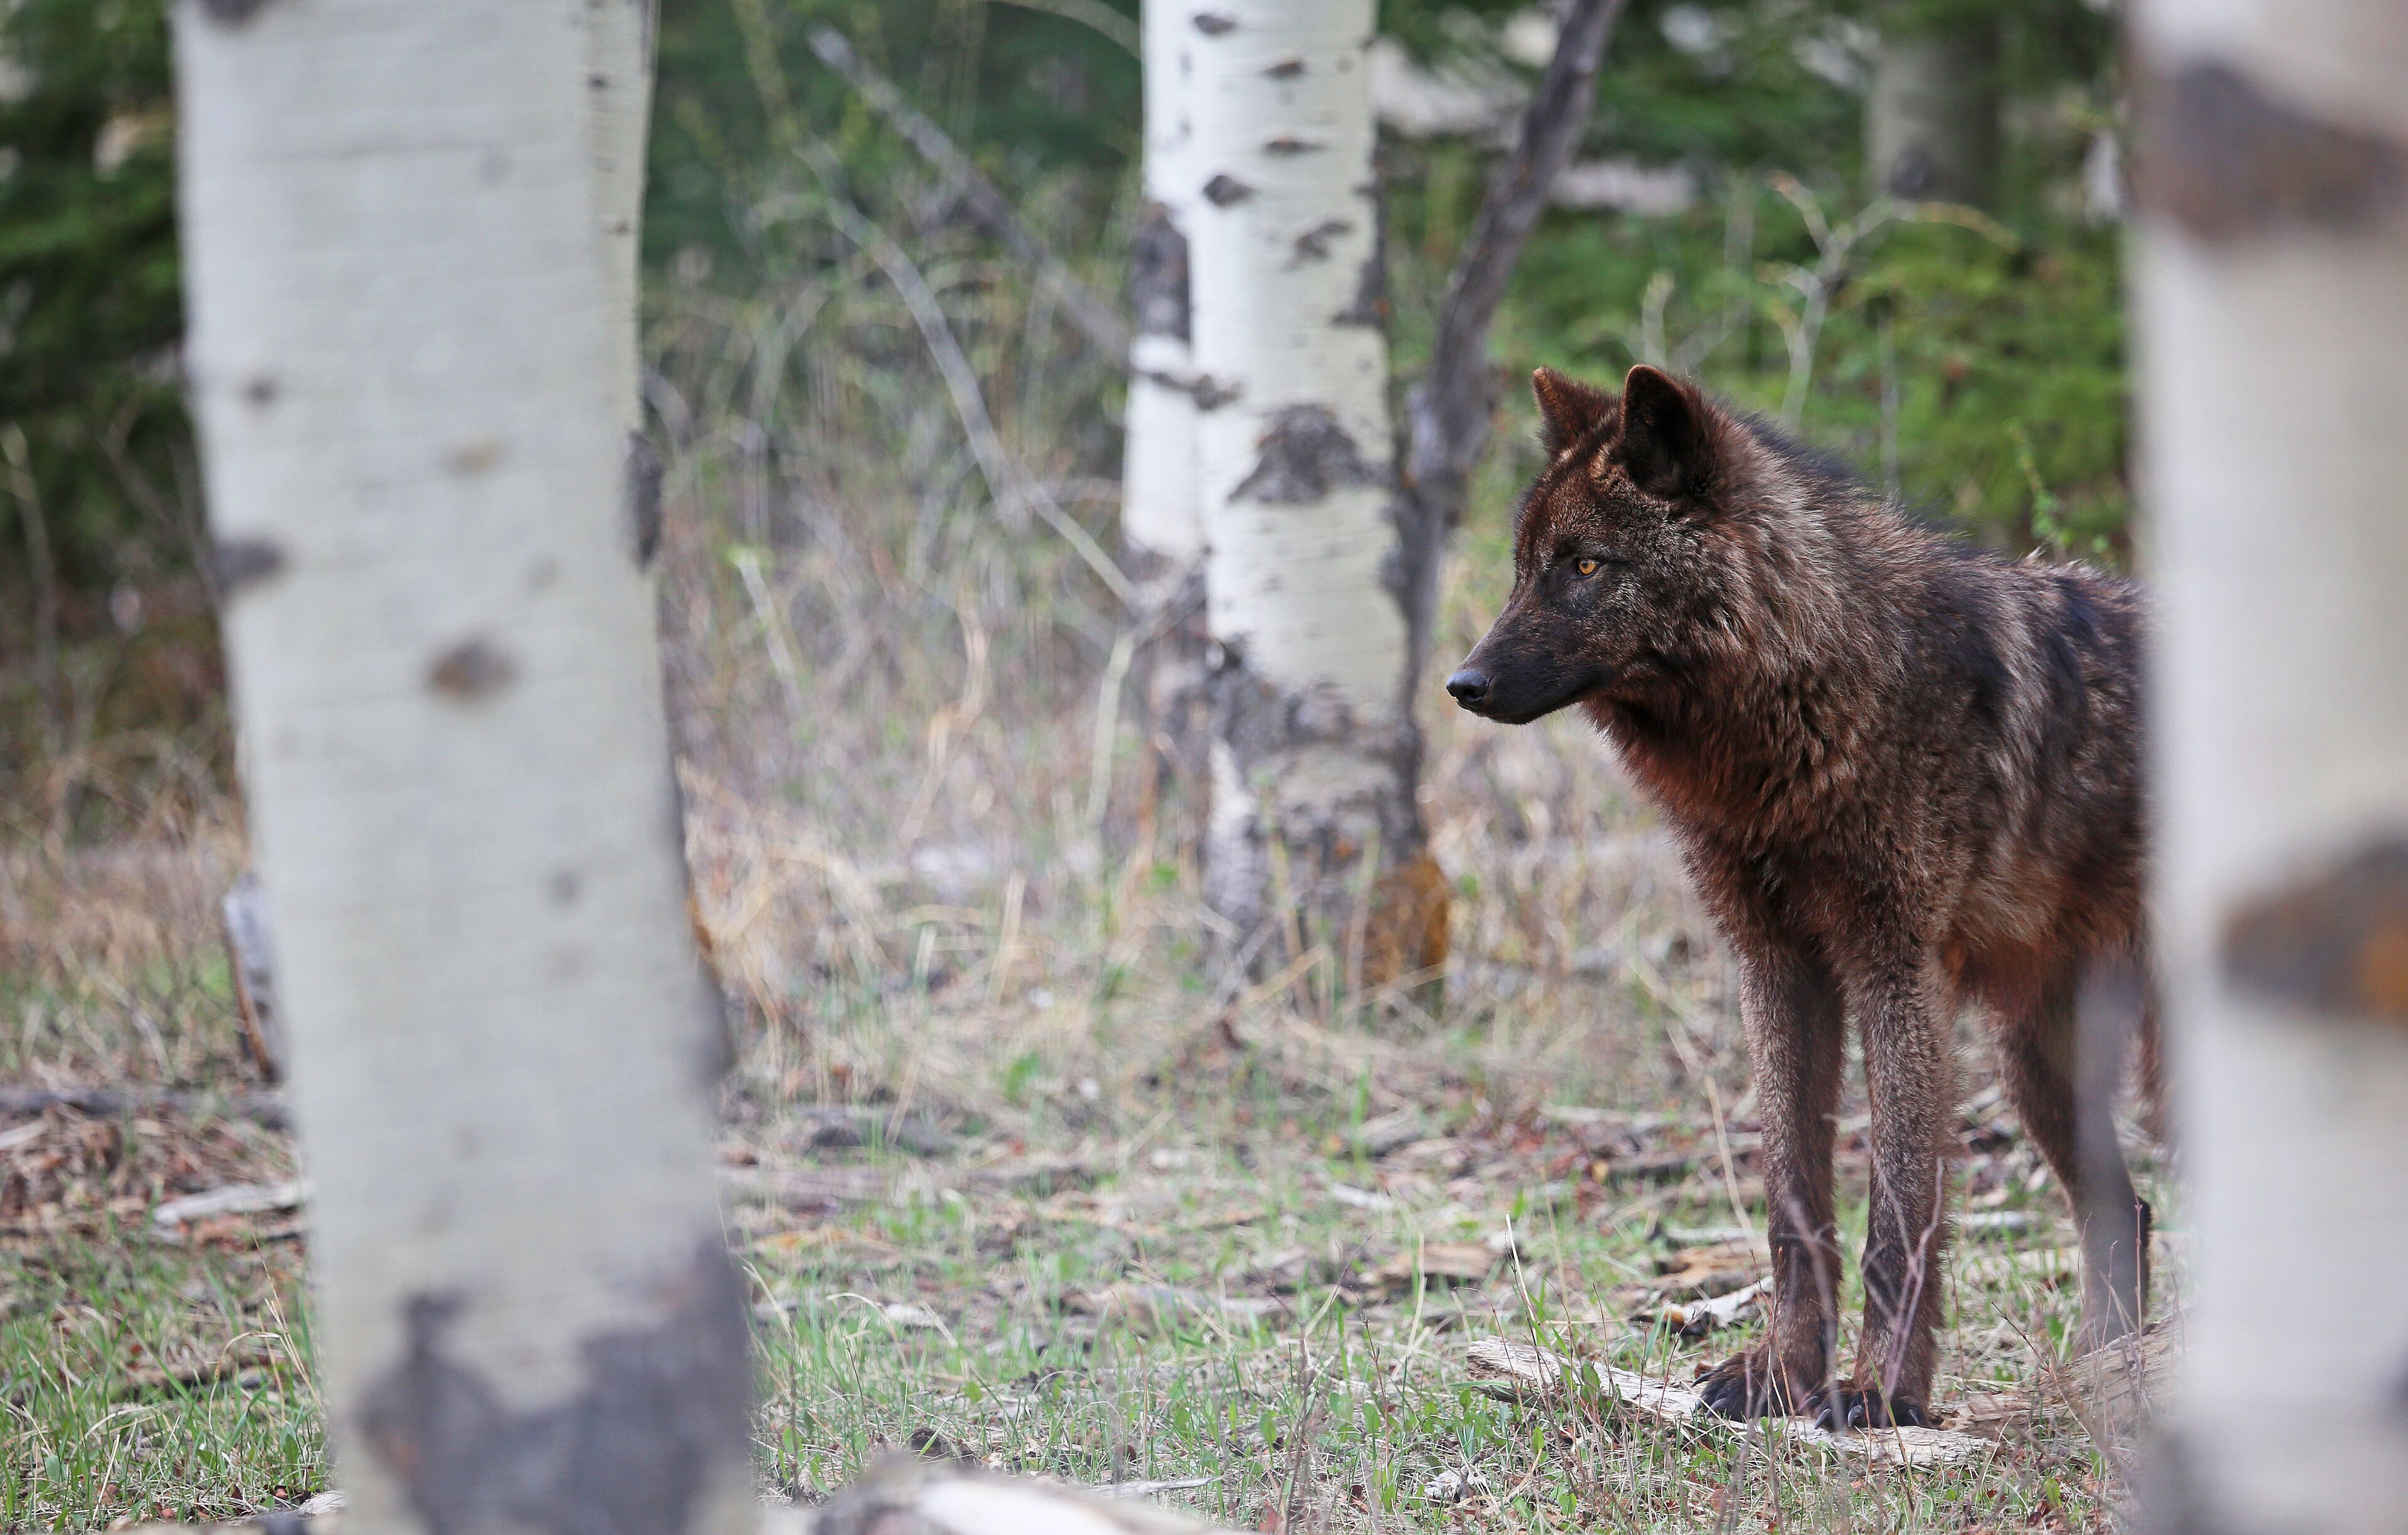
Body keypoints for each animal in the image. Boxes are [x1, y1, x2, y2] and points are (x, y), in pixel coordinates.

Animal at [1449, 364, 2155, 1428]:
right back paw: (2115, 1371)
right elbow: (1792, 1198)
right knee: (2130, 1209)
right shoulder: (1776, 966)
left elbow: (1899, 1214)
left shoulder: (1897, 971)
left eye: (1585, 565)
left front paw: (1883, 1392)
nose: (1463, 683)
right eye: (1525, 569)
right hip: (2038, 1066)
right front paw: (1782, 1374)